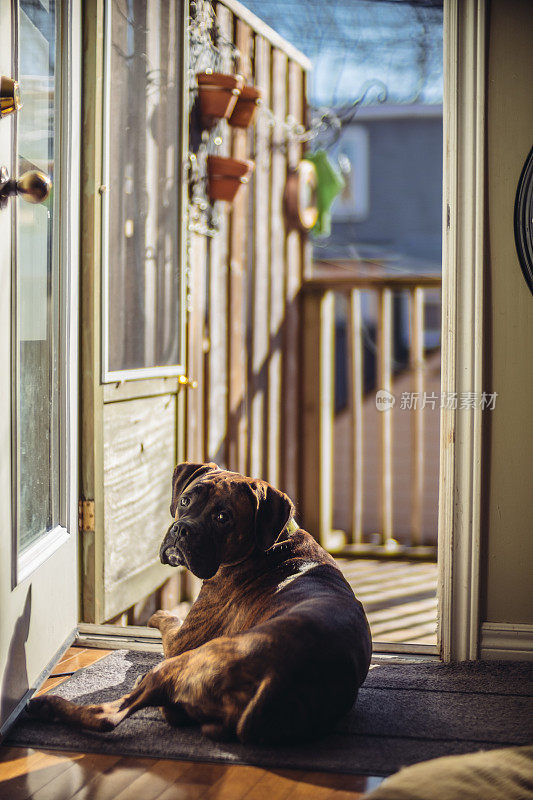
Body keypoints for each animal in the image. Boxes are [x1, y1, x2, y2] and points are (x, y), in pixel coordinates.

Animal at [28, 462, 370, 744]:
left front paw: (155, 618)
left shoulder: (182, 640)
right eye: (185, 501)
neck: (272, 545)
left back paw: (47, 705)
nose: (182, 528)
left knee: (109, 715)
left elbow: (166, 618)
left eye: (222, 517)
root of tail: (275, 677)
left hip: (178, 664)